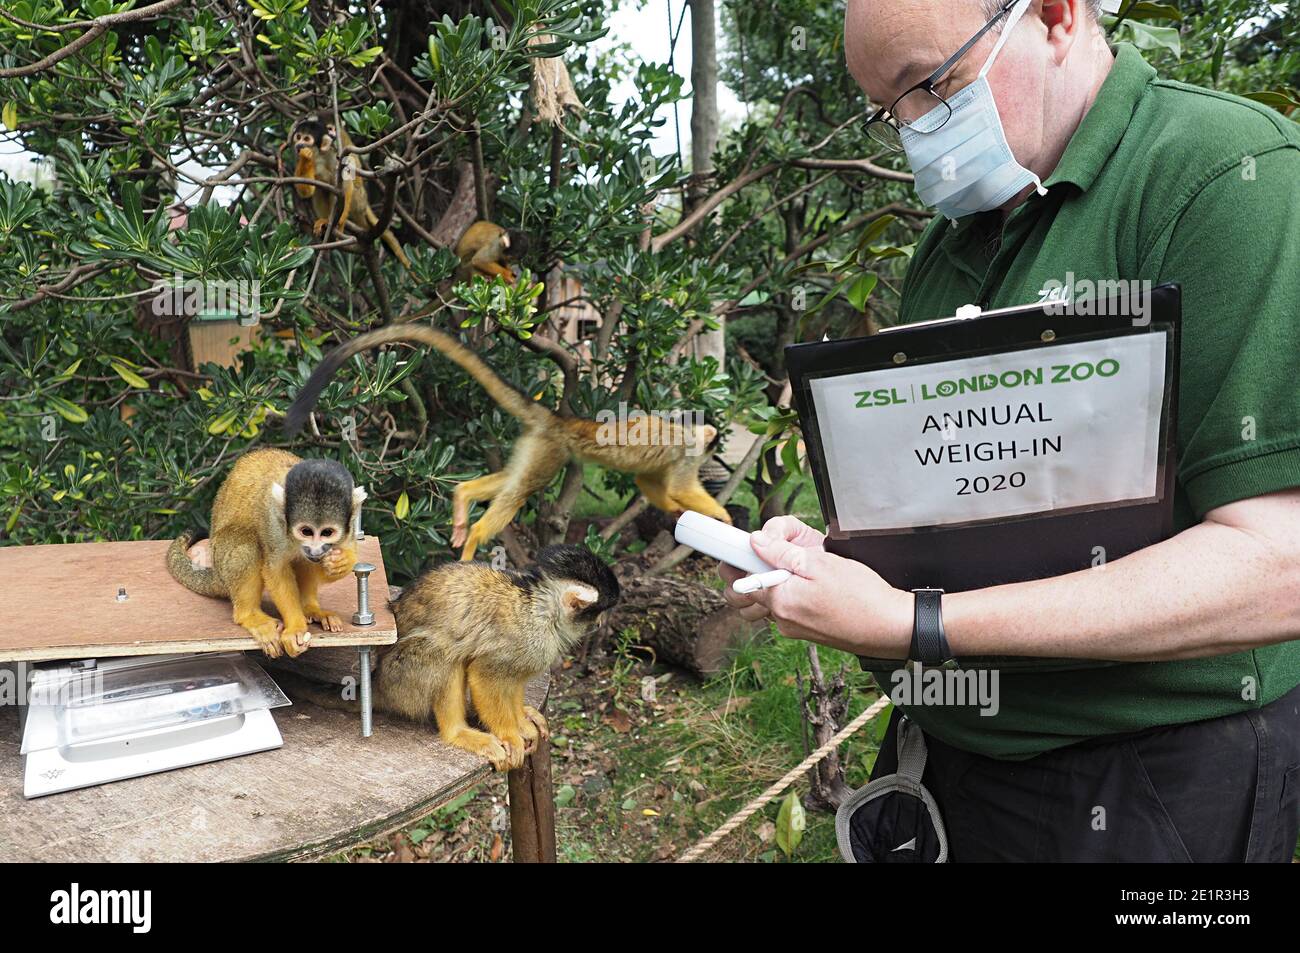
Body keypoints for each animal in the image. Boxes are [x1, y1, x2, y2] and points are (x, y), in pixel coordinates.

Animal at [167, 449, 369, 657]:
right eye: (306, 531)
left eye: (327, 532)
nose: (315, 549)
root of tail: (217, 575)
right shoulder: (272, 519)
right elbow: (275, 569)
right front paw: (295, 629)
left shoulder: (350, 524)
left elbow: (338, 553)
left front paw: (342, 562)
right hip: (220, 557)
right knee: (249, 544)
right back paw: (250, 616)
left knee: (302, 560)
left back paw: (310, 608)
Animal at [284, 325, 733, 561]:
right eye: (714, 448)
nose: (717, 452)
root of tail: (559, 419)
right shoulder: (688, 452)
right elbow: (679, 484)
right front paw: (722, 518)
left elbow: (648, 483)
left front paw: (674, 510)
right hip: (552, 451)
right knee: (523, 490)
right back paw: (477, 537)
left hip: (537, 445)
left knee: (516, 480)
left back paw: (465, 500)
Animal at [286, 543, 618, 764]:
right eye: (598, 613)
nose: (602, 624)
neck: (544, 611)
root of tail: (377, 681)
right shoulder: (527, 638)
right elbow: (486, 674)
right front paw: (509, 732)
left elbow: (511, 680)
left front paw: (521, 722)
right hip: (402, 679)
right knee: (442, 653)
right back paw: (458, 732)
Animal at [289, 117, 410, 271]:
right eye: (298, 137)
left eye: (306, 139)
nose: (299, 144)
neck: (319, 157)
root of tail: (364, 202)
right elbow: (307, 191)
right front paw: (305, 158)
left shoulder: (335, 157)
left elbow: (346, 182)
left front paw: (340, 224)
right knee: (321, 191)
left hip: (358, 199)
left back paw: (332, 222)